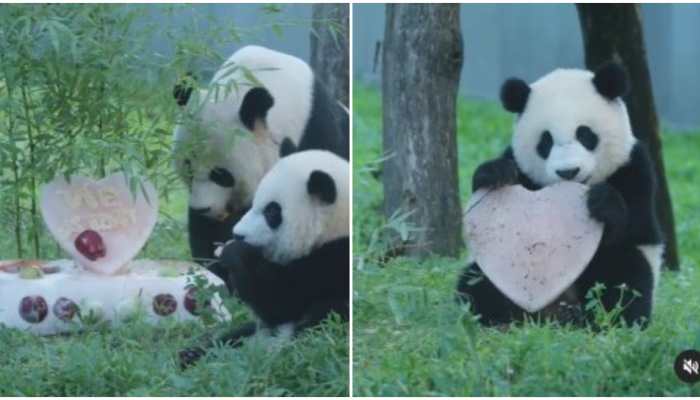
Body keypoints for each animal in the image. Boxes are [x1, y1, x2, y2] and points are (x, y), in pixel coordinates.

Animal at [178, 145, 348, 368]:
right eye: (254, 203)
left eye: (271, 212)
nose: (237, 234)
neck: (332, 229)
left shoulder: (332, 262)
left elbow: (281, 301)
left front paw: (233, 252)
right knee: (234, 337)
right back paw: (192, 355)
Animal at [456, 62, 664, 330]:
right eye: (545, 141)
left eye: (585, 134)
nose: (568, 172)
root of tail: (554, 311)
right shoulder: (521, 166)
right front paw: (494, 173)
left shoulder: (634, 166)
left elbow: (638, 226)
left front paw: (603, 202)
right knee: (476, 283)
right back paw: (499, 317)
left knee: (625, 274)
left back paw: (605, 320)